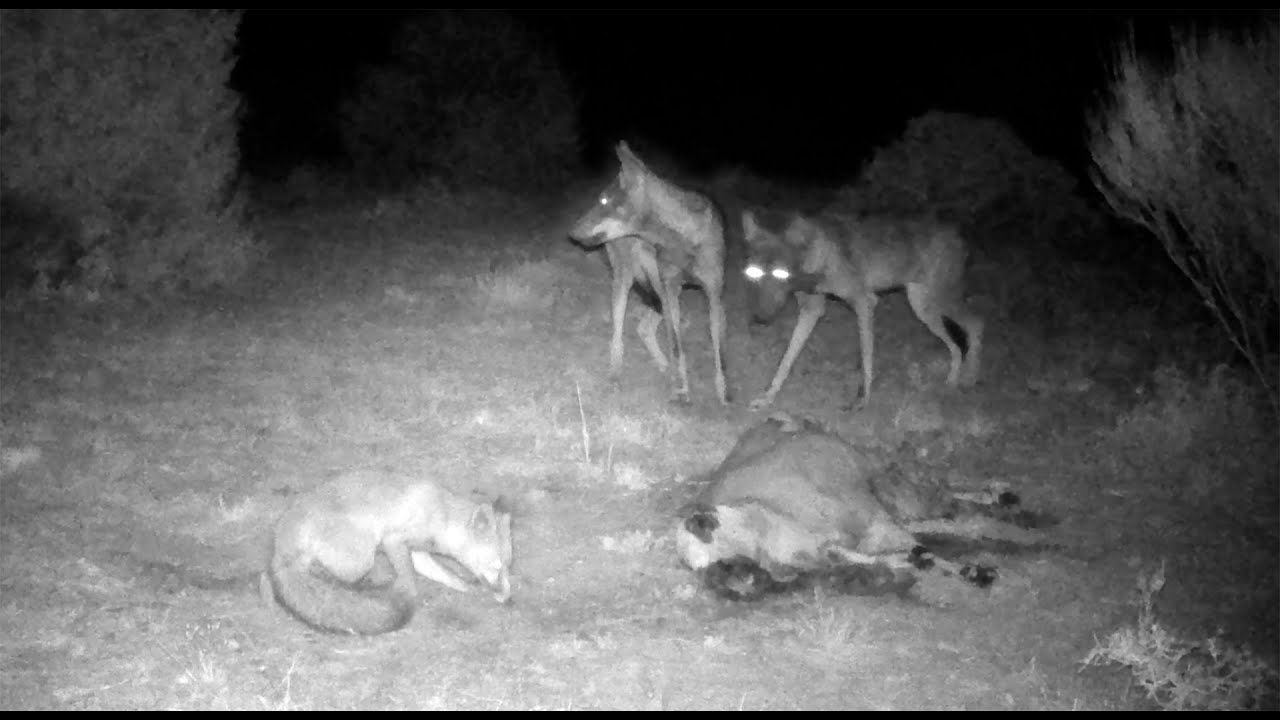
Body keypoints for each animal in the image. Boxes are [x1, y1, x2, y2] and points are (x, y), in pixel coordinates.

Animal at [267, 469, 513, 636]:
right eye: (496, 566)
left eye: (509, 567)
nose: (508, 599)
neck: (441, 516)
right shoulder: (393, 540)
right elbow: (409, 578)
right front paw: (409, 594)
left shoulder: (418, 552)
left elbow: (445, 576)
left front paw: (465, 586)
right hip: (362, 558)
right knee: (328, 576)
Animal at [568, 141, 729, 405]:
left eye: (603, 201)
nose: (571, 233)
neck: (681, 240)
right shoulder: (671, 289)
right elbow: (677, 346)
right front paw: (681, 391)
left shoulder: (713, 293)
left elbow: (719, 349)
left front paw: (723, 393)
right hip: (629, 282)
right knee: (619, 332)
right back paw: (616, 371)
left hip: (657, 290)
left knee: (644, 328)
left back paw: (663, 366)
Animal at [675, 414, 1055, 602]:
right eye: (702, 571)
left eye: (705, 531)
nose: (737, 583)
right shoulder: (842, 548)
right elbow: (910, 557)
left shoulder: (871, 523)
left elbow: (921, 552)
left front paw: (977, 572)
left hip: (883, 481)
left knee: (937, 495)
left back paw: (1001, 500)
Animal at [741, 208, 984, 410]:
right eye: (754, 272)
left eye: (781, 274)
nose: (760, 318)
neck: (818, 257)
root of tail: (959, 235)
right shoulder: (812, 309)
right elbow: (786, 360)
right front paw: (768, 397)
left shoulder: (865, 302)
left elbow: (866, 358)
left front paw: (863, 399)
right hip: (923, 307)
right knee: (956, 346)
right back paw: (952, 381)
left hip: (937, 302)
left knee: (977, 323)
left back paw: (969, 378)